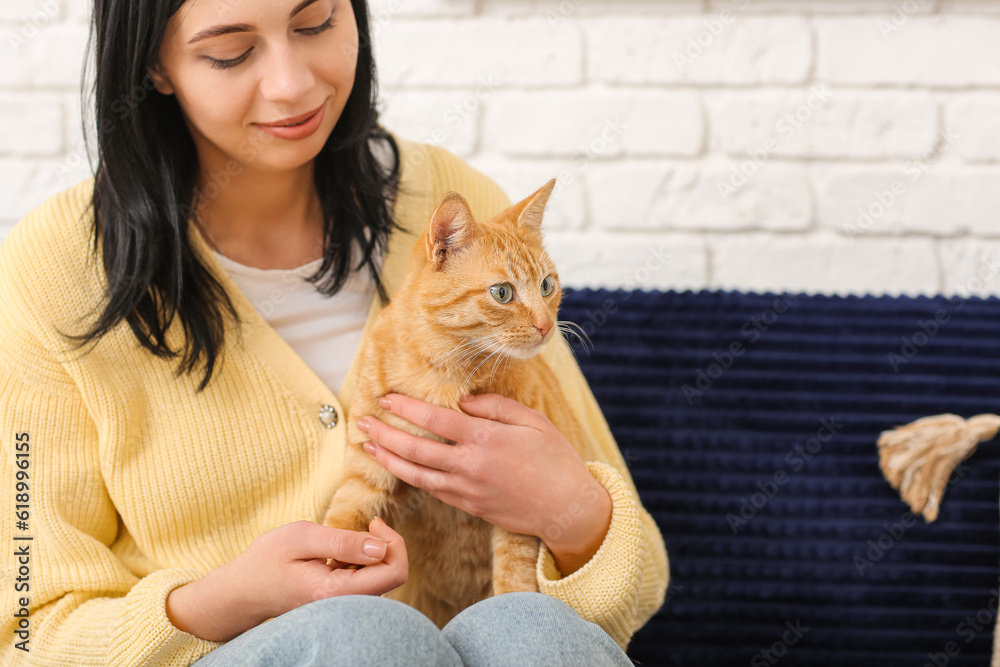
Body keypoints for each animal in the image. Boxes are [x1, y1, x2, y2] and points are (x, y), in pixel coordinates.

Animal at [324, 177, 596, 628]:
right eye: (502, 293)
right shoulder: (367, 465)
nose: (546, 325)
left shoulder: (518, 509)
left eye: (546, 285)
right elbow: (343, 519)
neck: (441, 374)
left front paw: (512, 606)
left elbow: (514, 572)